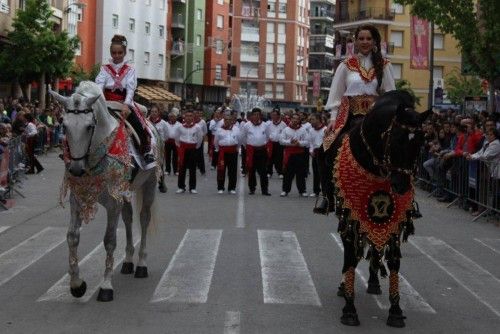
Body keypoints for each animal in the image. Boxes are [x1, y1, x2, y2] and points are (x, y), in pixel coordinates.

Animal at [50, 81, 162, 302]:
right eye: (64, 126)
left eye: (89, 126)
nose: (76, 170)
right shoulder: (78, 198)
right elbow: (72, 237)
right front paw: (77, 284)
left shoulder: (113, 201)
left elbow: (110, 240)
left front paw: (106, 286)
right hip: (125, 192)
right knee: (128, 218)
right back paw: (127, 261)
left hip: (150, 184)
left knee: (144, 218)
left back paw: (141, 264)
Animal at [330, 90, 432, 328]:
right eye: (395, 139)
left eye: (421, 143)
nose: (401, 185)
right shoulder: (350, 213)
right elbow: (351, 255)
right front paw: (349, 309)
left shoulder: (397, 219)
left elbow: (394, 259)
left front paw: (395, 311)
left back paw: (374, 282)